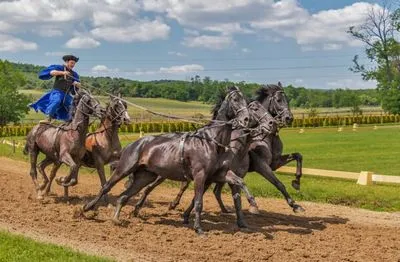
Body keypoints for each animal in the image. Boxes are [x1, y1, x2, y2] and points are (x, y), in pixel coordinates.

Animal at [83, 86, 253, 233]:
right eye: (235, 99)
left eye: (246, 100)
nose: (246, 119)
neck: (211, 141)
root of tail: (133, 144)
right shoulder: (200, 175)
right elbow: (198, 202)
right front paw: (198, 228)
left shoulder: (219, 174)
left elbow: (240, 181)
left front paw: (252, 203)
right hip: (124, 169)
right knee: (106, 187)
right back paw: (87, 208)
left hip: (145, 176)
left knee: (124, 196)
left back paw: (116, 219)